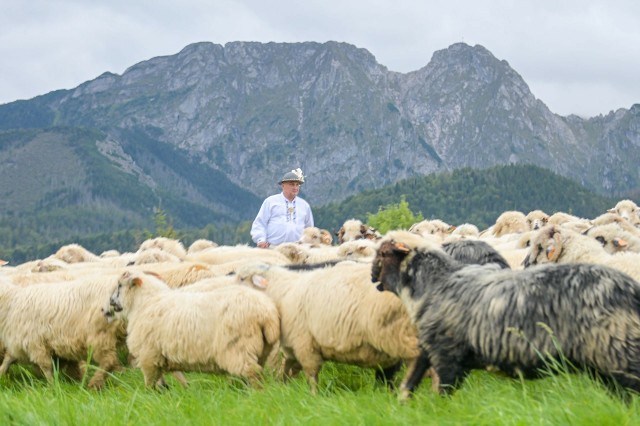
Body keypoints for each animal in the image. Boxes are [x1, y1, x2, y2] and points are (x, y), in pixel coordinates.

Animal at [107, 272, 280, 388]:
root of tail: (266, 312)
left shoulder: (149, 354)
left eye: (120, 285)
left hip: (238, 347)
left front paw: (150, 395)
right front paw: (179, 389)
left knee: (253, 372)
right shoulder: (163, 354)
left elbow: (150, 381)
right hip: (261, 349)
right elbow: (173, 376)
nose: (111, 302)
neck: (145, 302)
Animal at [234, 262, 420, 394]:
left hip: (401, 335)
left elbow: (311, 375)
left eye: (242, 278)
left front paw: (313, 396)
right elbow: (287, 370)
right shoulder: (293, 347)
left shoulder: (305, 344)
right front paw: (281, 389)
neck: (283, 292)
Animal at [372, 231, 640, 398]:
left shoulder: (447, 354)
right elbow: (410, 381)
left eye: (382, 253)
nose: (372, 277)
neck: (434, 283)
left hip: (618, 350)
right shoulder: (430, 348)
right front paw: (402, 403)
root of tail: (631, 289)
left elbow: (442, 394)